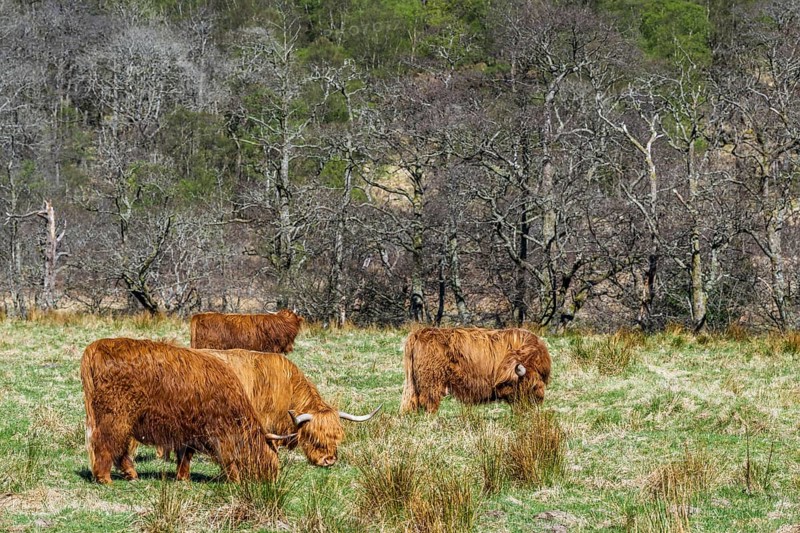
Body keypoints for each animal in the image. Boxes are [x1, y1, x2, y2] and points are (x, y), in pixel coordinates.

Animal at [81, 338, 294, 484]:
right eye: (270, 458)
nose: (274, 479)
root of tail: (97, 346)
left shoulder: (187, 427)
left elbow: (185, 454)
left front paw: (183, 477)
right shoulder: (216, 431)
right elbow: (227, 458)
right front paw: (236, 480)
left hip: (122, 418)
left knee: (119, 447)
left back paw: (131, 474)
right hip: (116, 414)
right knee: (105, 442)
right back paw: (104, 478)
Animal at [400, 327, 551, 414]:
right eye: (533, 385)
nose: (539, 400)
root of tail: (420, 332)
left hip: (414, 384)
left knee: (412, 401)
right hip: (431, 382)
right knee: (429, 402)